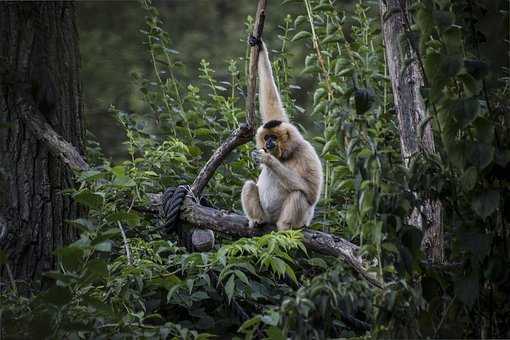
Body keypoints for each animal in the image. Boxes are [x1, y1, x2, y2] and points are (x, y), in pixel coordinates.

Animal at [242, 37, 322, 230]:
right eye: (266, 137)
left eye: (274, 138)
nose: (268, 143)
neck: (286, 154)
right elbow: (271, 104)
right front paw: (259, 46)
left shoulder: (306, 151)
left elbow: (311, 192)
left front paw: (268, 160)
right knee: (249, 185)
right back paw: (258, 220)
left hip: (299, 220)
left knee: (299, 194)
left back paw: (286, 227)